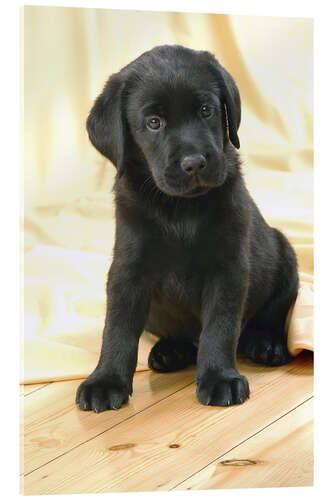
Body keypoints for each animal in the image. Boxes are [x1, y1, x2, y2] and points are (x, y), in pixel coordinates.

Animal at [76, 44, 298, 410]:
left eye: (206, 110)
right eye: (153, 123)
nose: (194, 163)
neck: (179, 209)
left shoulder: (228, 269)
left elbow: (220, 328)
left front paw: (220, 377)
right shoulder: (128, 270)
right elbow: (117, 328)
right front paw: (105, 380)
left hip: (284, 257)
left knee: (271, 314)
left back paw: (265, 344)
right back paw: (170, 351)